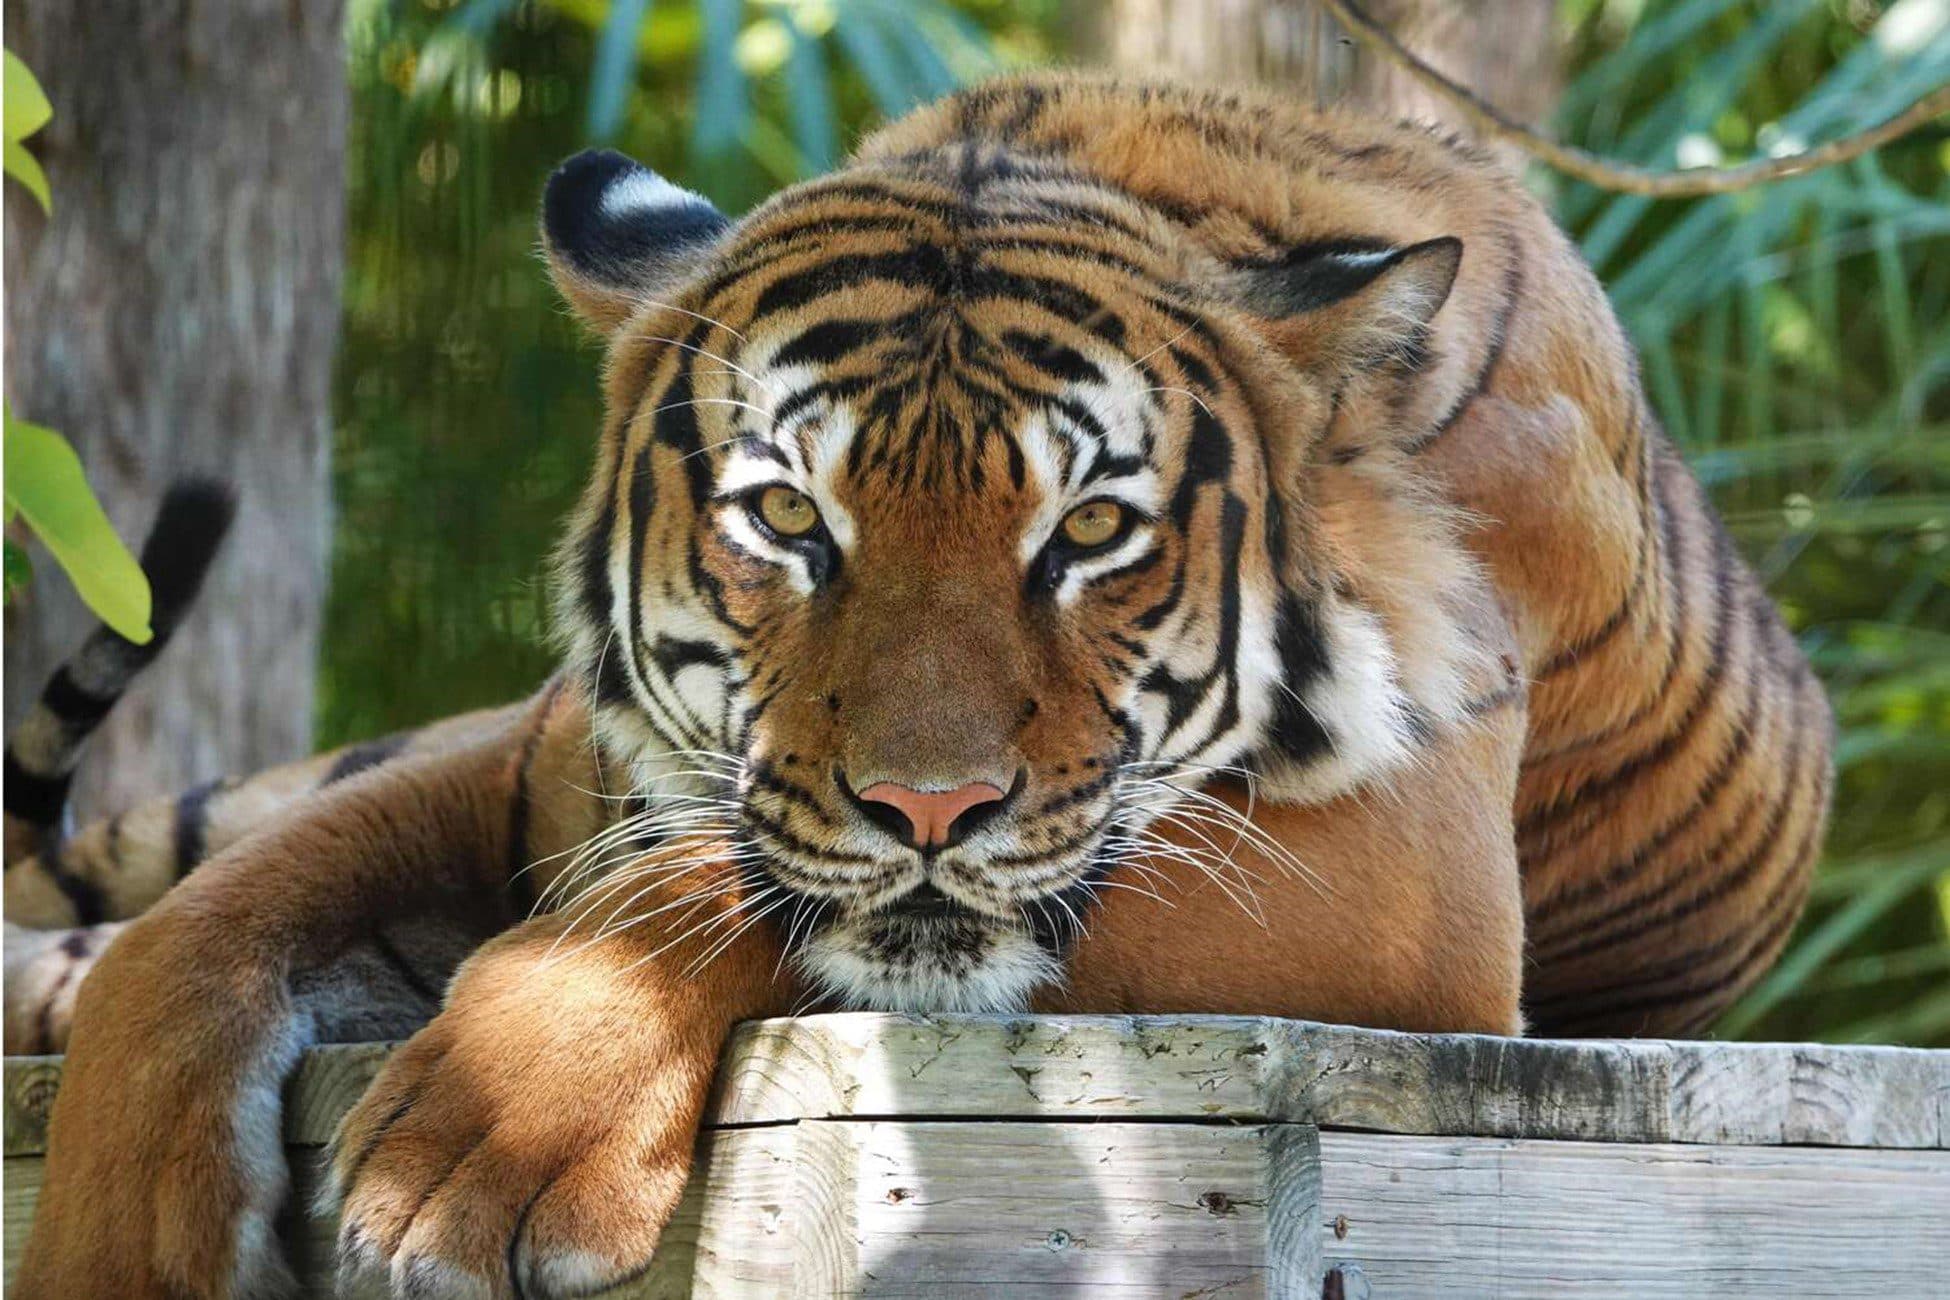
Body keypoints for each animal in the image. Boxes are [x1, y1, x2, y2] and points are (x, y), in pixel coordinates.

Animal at [12, 72, 1832, 1299]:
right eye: (787, 519)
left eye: (1090, 529)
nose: (930, 806)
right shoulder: (534, 762)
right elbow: (203, 930)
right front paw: (120, 1241)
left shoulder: (1412, 893)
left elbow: (702, 890)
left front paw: (484, 1140)